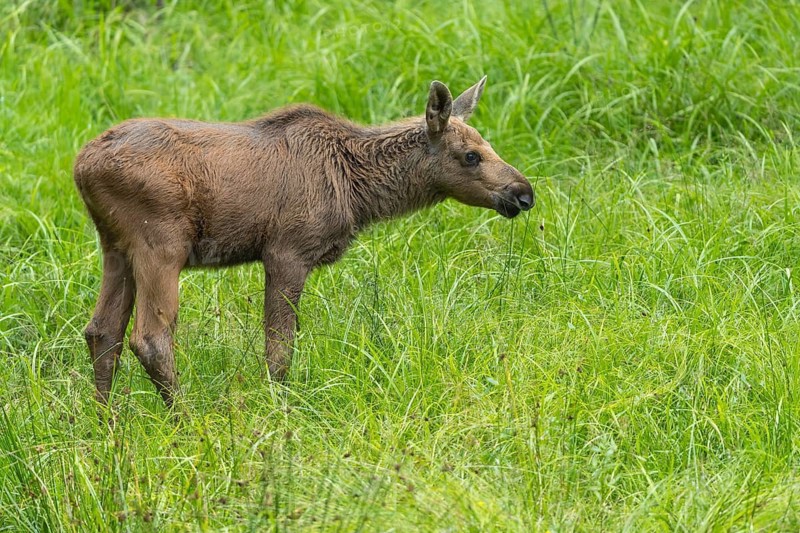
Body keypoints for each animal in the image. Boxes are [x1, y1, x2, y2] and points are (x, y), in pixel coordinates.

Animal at [74, 77, 534, 408]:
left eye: (489, 145)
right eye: (471, 155)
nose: (523, 193)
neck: (358, 189)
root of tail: (81, 167)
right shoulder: (287, 252)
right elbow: (279, 350)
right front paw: (280, 408)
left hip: (117, 248)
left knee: (102, 331)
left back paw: (105, 421)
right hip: (160, 244)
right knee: (150, 338)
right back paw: (184, 419)